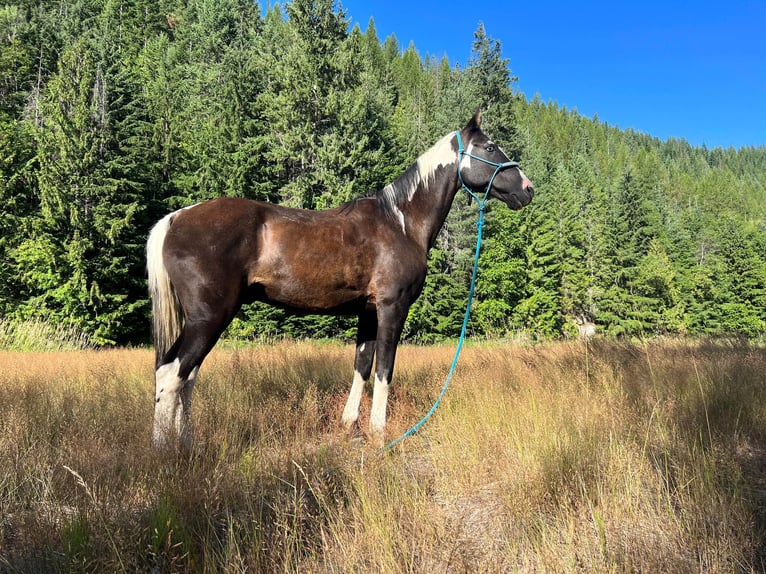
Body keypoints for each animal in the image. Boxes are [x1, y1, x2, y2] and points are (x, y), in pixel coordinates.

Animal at [148, 111, 536, 450]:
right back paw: (165, 454)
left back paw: (187, 445)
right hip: (210, 317)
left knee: (184, 377)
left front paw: (349, 427)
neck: (400, 222)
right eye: (490, 147)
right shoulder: (392, 308)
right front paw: (379, 434)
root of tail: (176, 218)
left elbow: (361, 367)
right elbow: (384, 369)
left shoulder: (368, 312)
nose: (528, 189)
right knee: (172, 375)